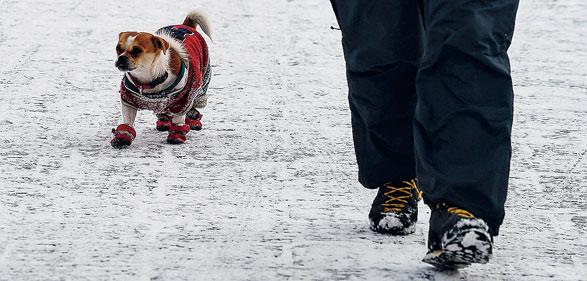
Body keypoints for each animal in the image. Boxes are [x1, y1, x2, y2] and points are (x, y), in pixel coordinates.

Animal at [111, 10, 212, 148]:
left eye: (137, 50)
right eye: (118, 48)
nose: (121, 58)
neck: (149, 80)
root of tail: (185, 25)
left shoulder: (183, 99)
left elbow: (178, 118)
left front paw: (176, 135)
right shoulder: (129, 98)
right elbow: (128, 121)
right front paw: (122, 138)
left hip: (201, 83)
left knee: (194, 101)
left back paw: (193, 118)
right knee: (164, 110)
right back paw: (163, 120)